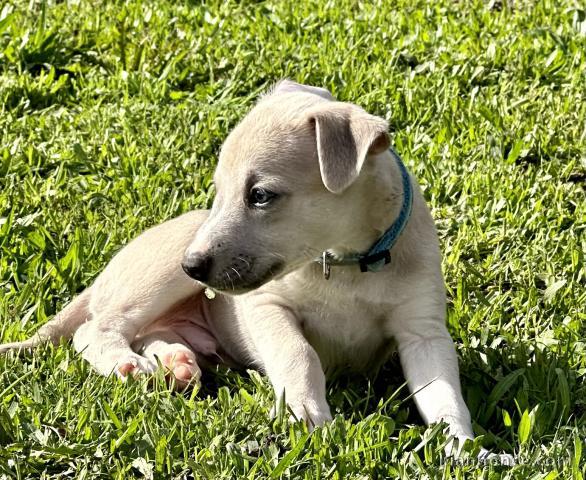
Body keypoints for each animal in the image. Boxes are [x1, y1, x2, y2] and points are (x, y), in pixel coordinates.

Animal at [0, 81, 506, 462]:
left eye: (260, 195)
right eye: (220, 189)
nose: (194, 266)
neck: (344, 262)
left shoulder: (423, 332)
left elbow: (443, 394)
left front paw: (465, 450)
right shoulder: (268, 305)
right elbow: (298, 354)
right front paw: (309, 416)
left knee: (150, 333)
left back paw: (177, 364)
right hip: (156, 276)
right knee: (95, 329)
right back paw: (128, 363)